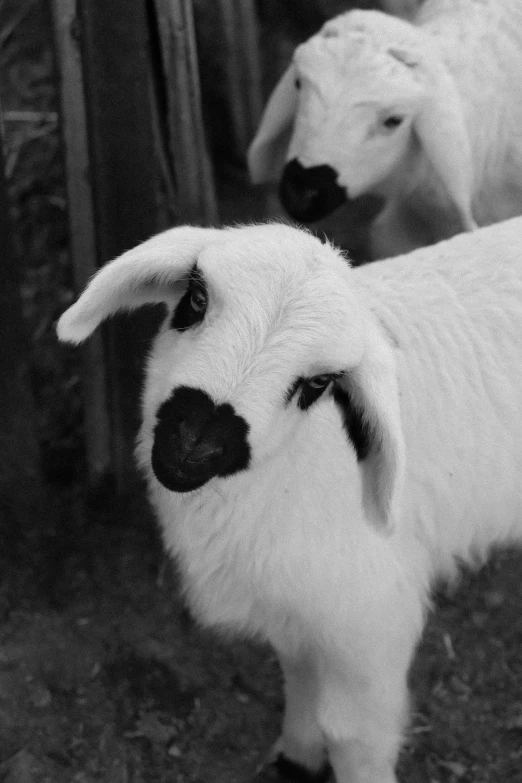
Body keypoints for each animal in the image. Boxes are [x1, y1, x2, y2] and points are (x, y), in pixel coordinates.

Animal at [58, 219, 522, 783]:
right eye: (196, 298)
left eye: (318, 382)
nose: (192, 445)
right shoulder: (295, 605)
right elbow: (297, 671)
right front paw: (296, 757)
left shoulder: (370, 621)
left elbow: (353, 736)